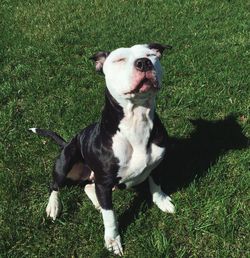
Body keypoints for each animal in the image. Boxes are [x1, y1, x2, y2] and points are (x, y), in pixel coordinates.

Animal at [29, 43, 174, 255]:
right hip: (66, 160)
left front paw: (162, 201)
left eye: (150, 54)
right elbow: (110, 217)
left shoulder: (157, 163)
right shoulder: (104, 183)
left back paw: (97, 202)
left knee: (88, 186)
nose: (144, 62)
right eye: (119, 59)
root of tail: (67, 142)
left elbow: (156, 183)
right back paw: (54, 206)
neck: (137, 121)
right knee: (55, 185)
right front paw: (113, 240)